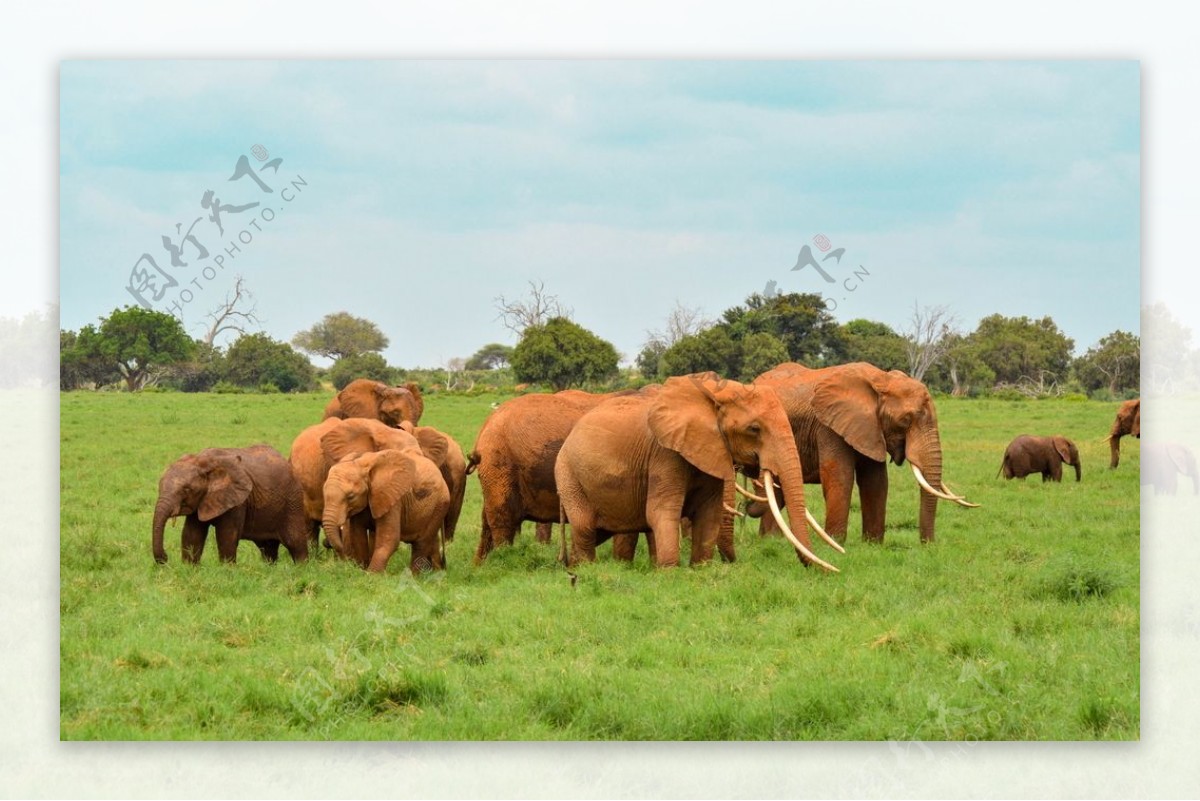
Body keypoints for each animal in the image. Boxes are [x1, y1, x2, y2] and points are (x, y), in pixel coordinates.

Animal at [152, 443, 309, 563]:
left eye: (186, 489)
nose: (166, 558)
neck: (202, 461)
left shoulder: (238, 501)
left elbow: (227, 536)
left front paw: (227, 571)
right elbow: (191, 535)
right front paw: (189, 569)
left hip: (293, 501)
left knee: (296, 543)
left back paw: (302, 569)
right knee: (267, 548)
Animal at [554, 374, 844, 568]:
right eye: (754, 429)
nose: (827, 570)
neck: (712, 396)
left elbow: (708, 513)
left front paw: (701, 568)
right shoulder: (664, 453)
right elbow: (661, 511)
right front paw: (669, 572)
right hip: (568, 475)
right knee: (585, 526)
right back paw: (586, 570)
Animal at [744, 362, 979, 544]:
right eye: (905, 421)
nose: (928, 545)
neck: (881, 379)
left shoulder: (870, 428)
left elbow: (876, 481)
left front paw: (873, 544)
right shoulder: (828, 426)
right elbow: (840, 477)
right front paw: (835, 543)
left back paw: (771, 540)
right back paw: (770, 540)